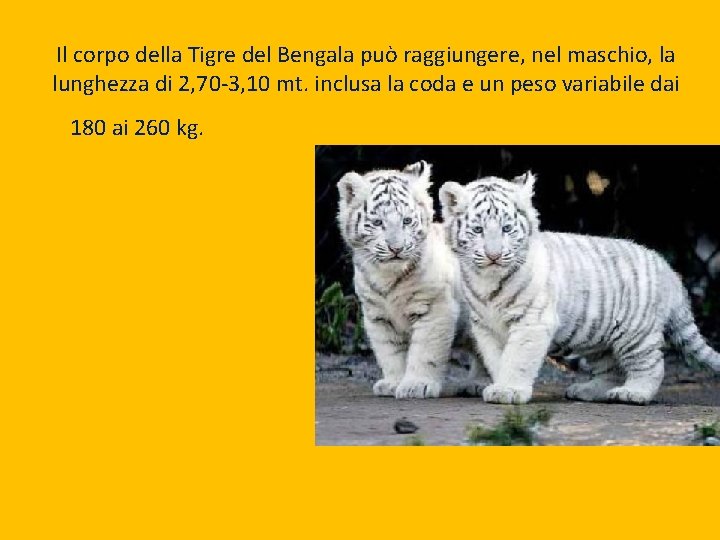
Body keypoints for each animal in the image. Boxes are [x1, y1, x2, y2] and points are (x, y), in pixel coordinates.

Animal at [337, 161, 484, 398]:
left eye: (407, 221)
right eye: (377, 222)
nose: (396, 248)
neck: (388, 276)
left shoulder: (435, 308)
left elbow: (425, 351)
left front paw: (417, 385)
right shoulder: (377, 316)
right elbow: (390, 352)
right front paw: (393, 383)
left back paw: (478, 383)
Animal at [439, 171, 720, 405]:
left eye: (507, 229)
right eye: (478, 230)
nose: (494, 255)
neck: (487, 281)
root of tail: (668, 269)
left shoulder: (532, 321)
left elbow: (517, 358)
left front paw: (509, 390)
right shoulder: (486, 326)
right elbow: (497, 359)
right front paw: (499, 385)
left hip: (635, 332)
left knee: (651, 364)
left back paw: (634, 393)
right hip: (600, 336)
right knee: (611, 368)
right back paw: (588, 390)